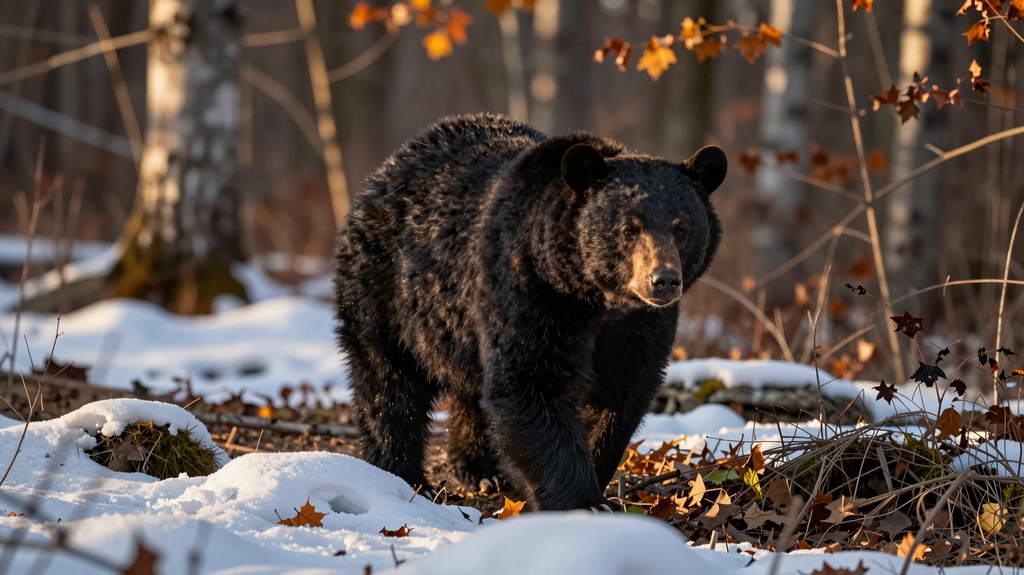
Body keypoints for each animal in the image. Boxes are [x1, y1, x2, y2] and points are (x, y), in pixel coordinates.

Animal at [334, 113, 726, 511]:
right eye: (629, 228)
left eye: (681, 227)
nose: (663, 280)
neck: (594, 297)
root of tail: (388, 167)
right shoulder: (529, 293)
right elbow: (530, 382)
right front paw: (584, 501)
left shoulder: (640, 324)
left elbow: (623, 392)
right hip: (386, 290)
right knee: (388, 385)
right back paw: (404, 477)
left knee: (468, 390)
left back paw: (481, 469)